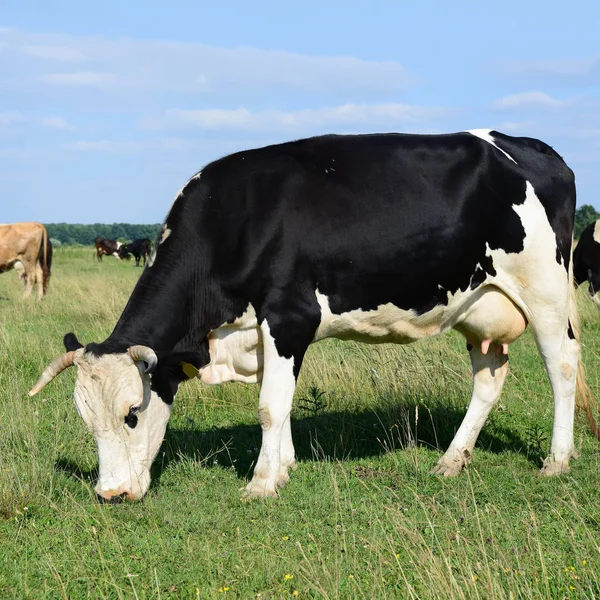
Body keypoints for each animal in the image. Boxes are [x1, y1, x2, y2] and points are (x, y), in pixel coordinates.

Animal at [30, 131, 596, 502]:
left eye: (132, 413)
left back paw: (556, 461)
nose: (110, 494)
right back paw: (451, 461)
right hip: (481, 308)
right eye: (85, 418)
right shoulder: (266, 333)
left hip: (545, 291)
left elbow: (269, 406)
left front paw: (261, 483)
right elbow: (279, 403)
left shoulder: (288, 317)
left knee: (562, 366)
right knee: (489, 379)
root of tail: (532, 146)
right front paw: (284, 467)